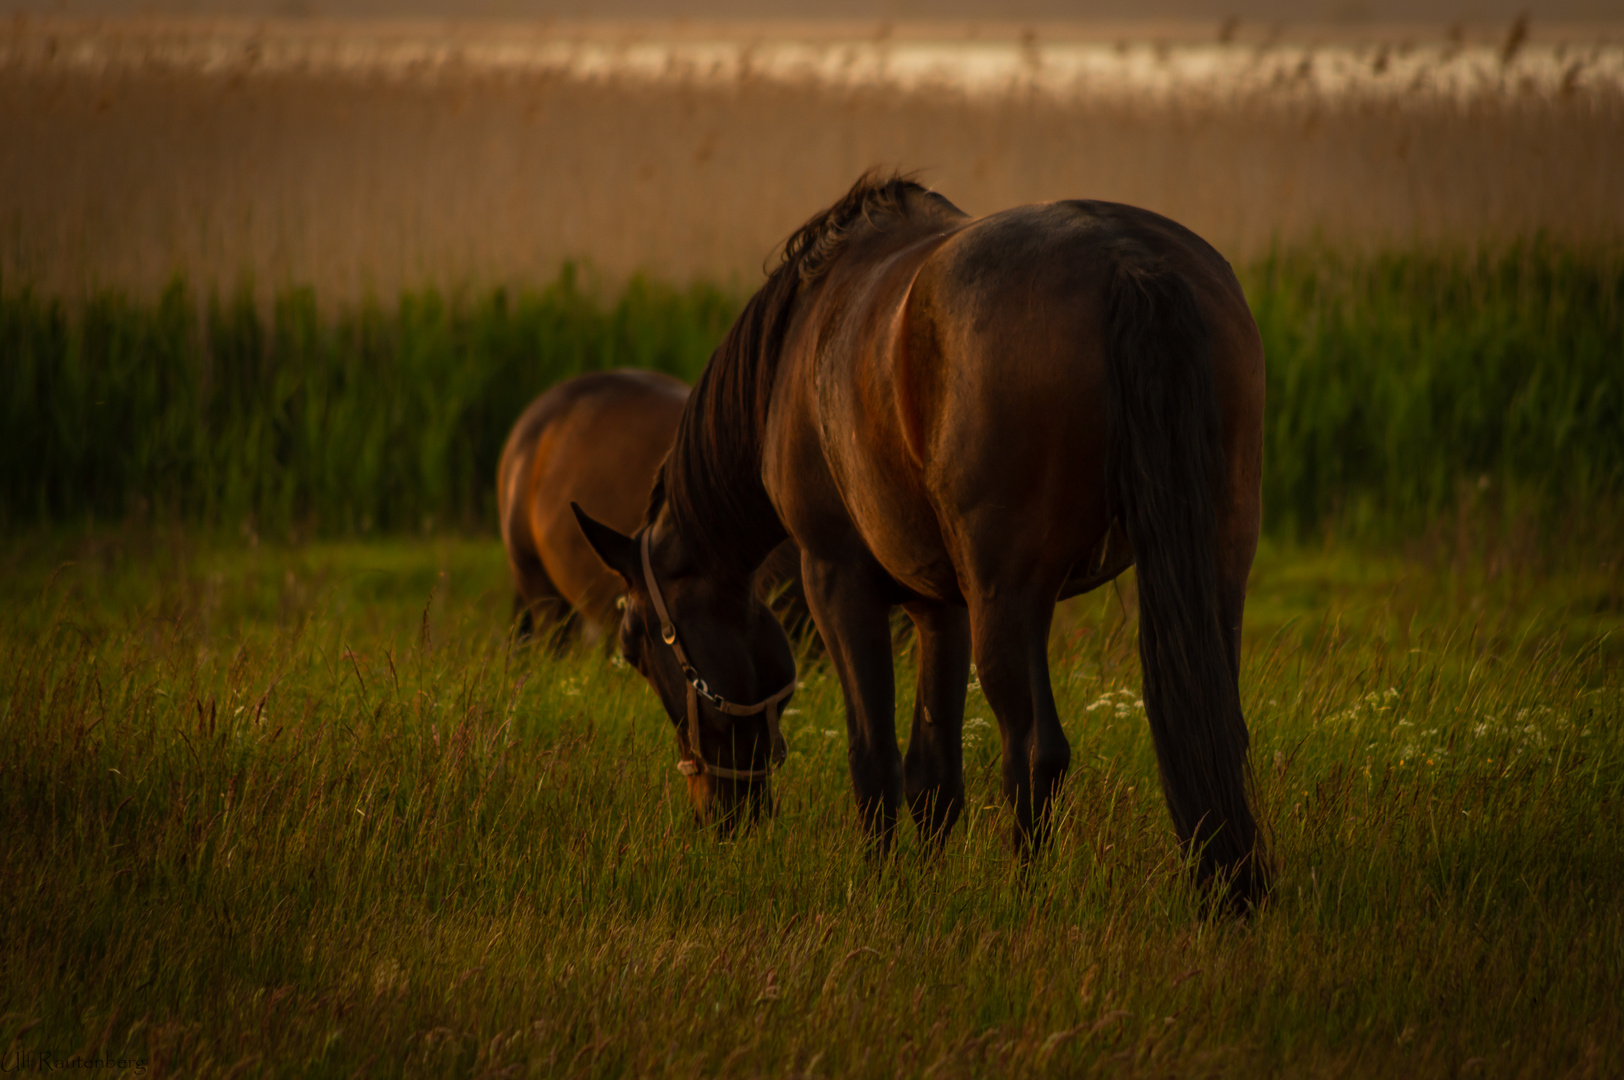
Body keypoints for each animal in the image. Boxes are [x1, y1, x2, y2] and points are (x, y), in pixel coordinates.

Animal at [578, 174, 1273, 902]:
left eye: (634, 648)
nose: (719, 815)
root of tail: (1128, 262)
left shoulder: (838, 582)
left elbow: (873, 755)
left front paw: (876, 883)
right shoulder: (941, 606)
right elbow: (933, 773)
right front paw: (928, 887)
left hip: (1010, 595)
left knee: (1036, 748)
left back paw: (1022, 893)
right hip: (1214, 568)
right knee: (1216, 728)